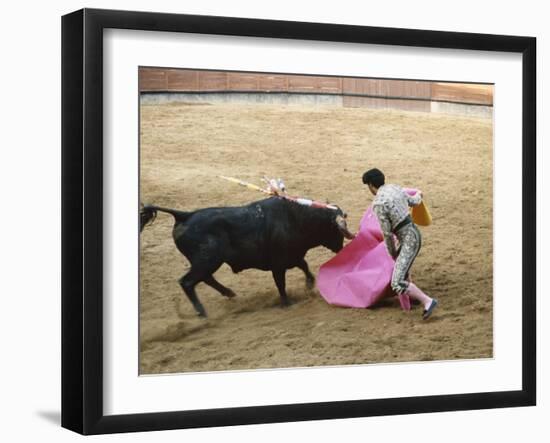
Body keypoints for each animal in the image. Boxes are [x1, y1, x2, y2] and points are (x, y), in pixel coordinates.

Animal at [140, 197, 356, 316]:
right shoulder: (278, 264)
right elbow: (282, 284)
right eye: (337, 230)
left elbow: (304, 265)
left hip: (206, 262)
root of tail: (185, 215)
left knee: (204, 278)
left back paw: (229, 293)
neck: (297, 218)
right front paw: (287, 303)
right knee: (188, 282)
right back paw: (202, 312)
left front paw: (309, 284)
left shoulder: (292, 256)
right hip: (207, 260)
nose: (342, 248)